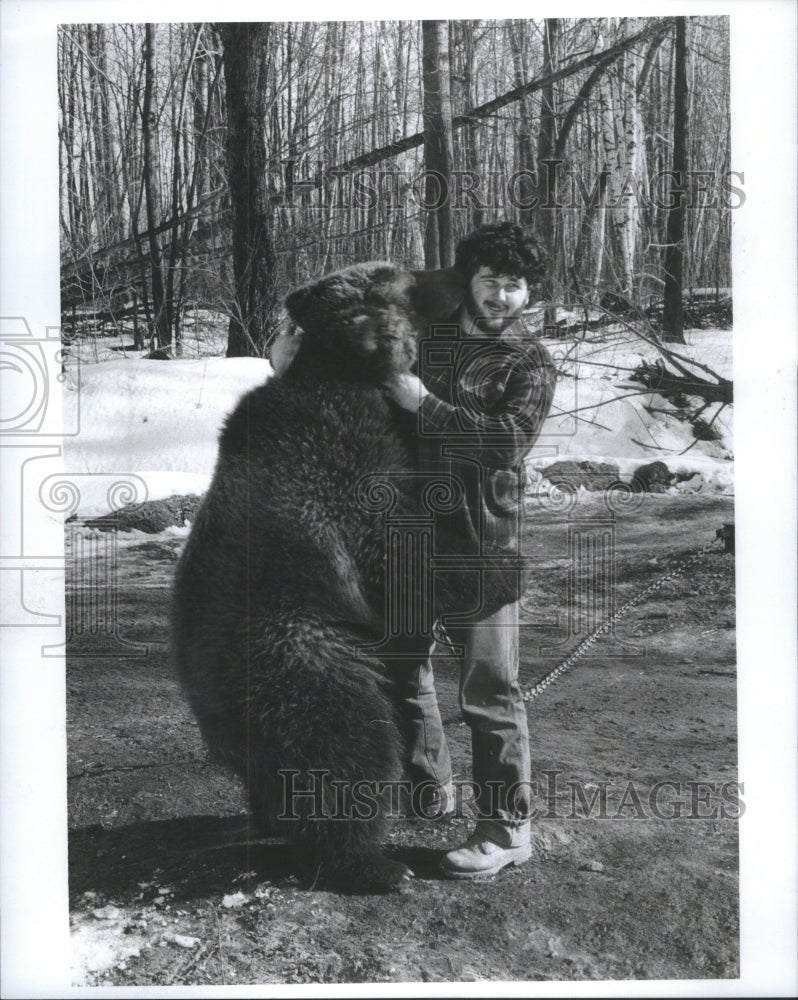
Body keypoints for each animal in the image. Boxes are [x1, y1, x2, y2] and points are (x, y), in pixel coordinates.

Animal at [172, 262, 528, 896]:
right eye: (409, 283)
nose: (452, 271)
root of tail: (202, 691)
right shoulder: (348, 478)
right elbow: (409, 557)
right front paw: (506, 570)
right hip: (304, 658)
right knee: (347, 750)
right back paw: (374, 864)